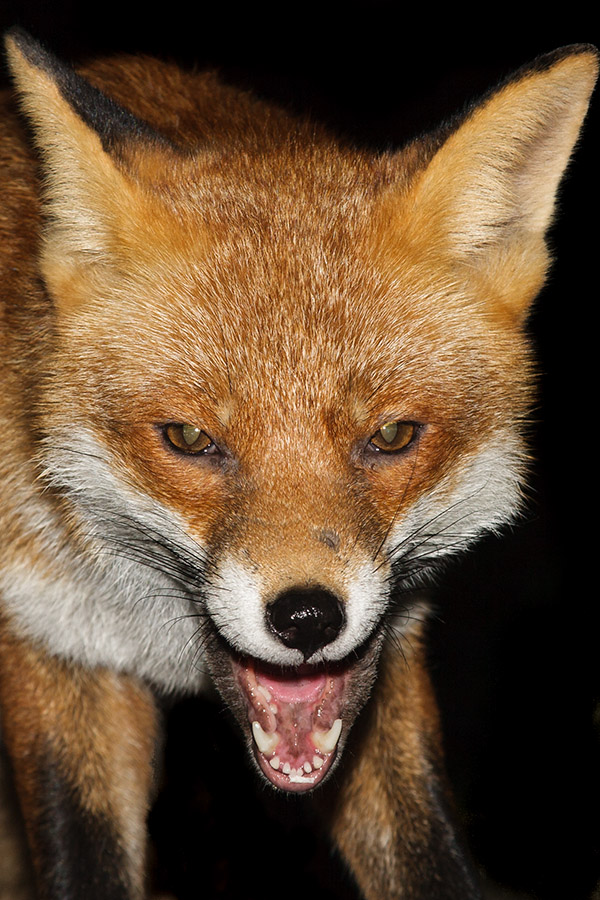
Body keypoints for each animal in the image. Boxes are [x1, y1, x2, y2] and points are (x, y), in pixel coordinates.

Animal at [0, 26, 596, 900]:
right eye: (189, 439)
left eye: (392, 436)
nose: (308, 619)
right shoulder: (56, 648)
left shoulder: (389, 656)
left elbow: (427, 858)